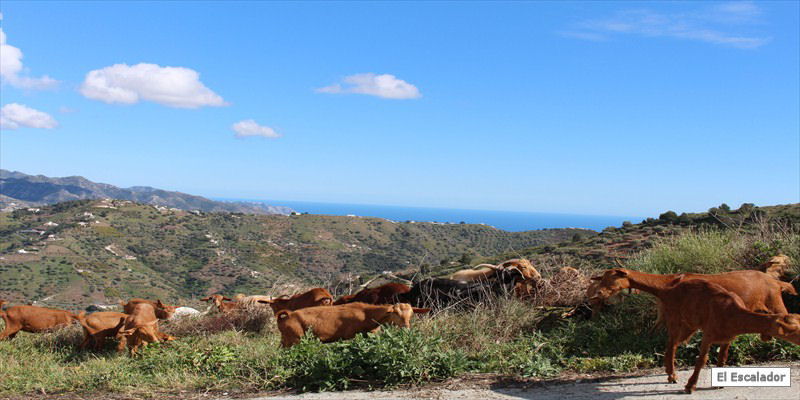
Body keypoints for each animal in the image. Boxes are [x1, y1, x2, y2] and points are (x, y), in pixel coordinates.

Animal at [276, 304, 428, 346]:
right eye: (395, 313)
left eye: (411, 314)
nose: (406, 327)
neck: (366, 313)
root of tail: (287, 315)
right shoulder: (350, 336)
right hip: (296, 339)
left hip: (286, 340)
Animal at [656, 280, 800, 392]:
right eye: (796, 331)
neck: (732, 313)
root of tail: (669, 291)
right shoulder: (708, 334)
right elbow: (701, 360)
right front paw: (690, 386)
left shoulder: (728, 337)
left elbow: (722, 359)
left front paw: (718, 384)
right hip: (674, 317)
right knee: (672, 343)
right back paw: (672, 375)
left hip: (690, 325)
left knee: (673, 343)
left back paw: (670, 373)